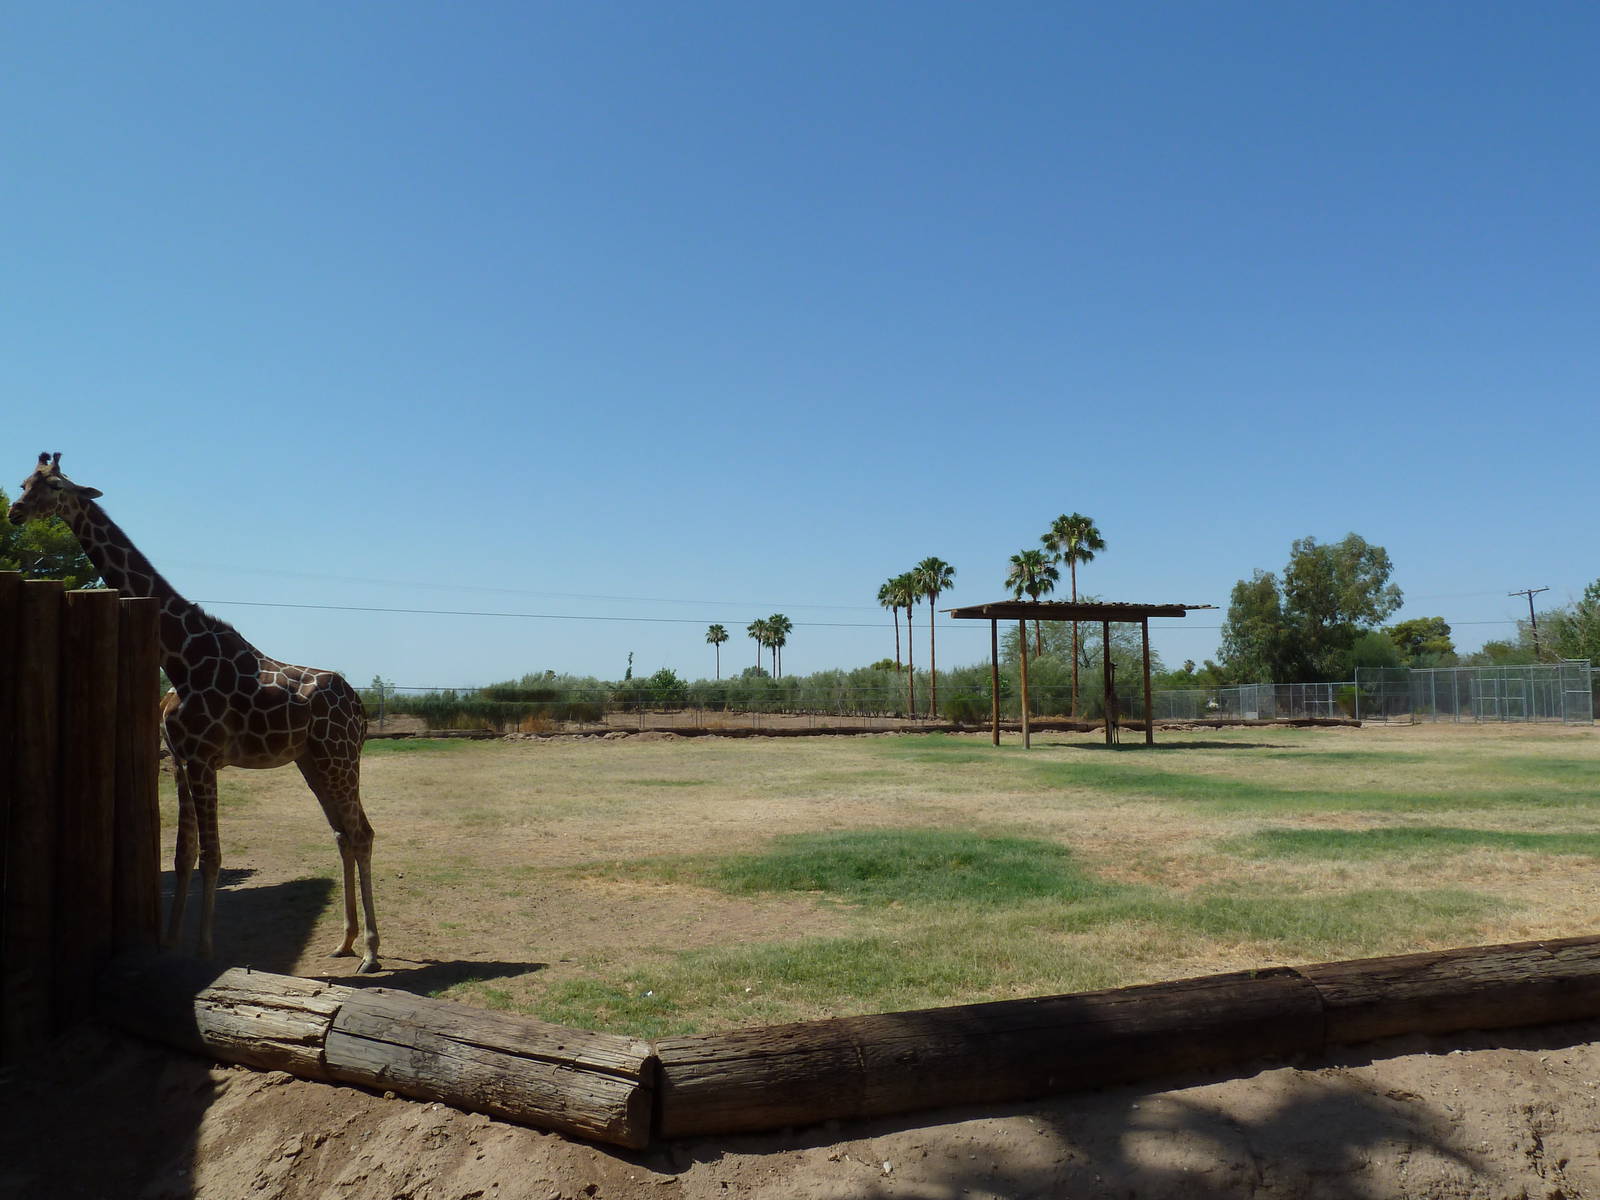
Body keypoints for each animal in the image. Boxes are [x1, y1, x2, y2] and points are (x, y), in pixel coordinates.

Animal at [8, 453, 381, 973]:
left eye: (56, 486)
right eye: (25, 482)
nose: (15, 512)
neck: (180, 656)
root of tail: (359, 705)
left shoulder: (205, 759)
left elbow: (212, 856)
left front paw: (204, 949)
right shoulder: (182, 761)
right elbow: (182, 855)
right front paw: (168, 943)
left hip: (339, 756)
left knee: (362, 833)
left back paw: (370, 952)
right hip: (313, 761)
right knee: (343, 834)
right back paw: (344, 943)